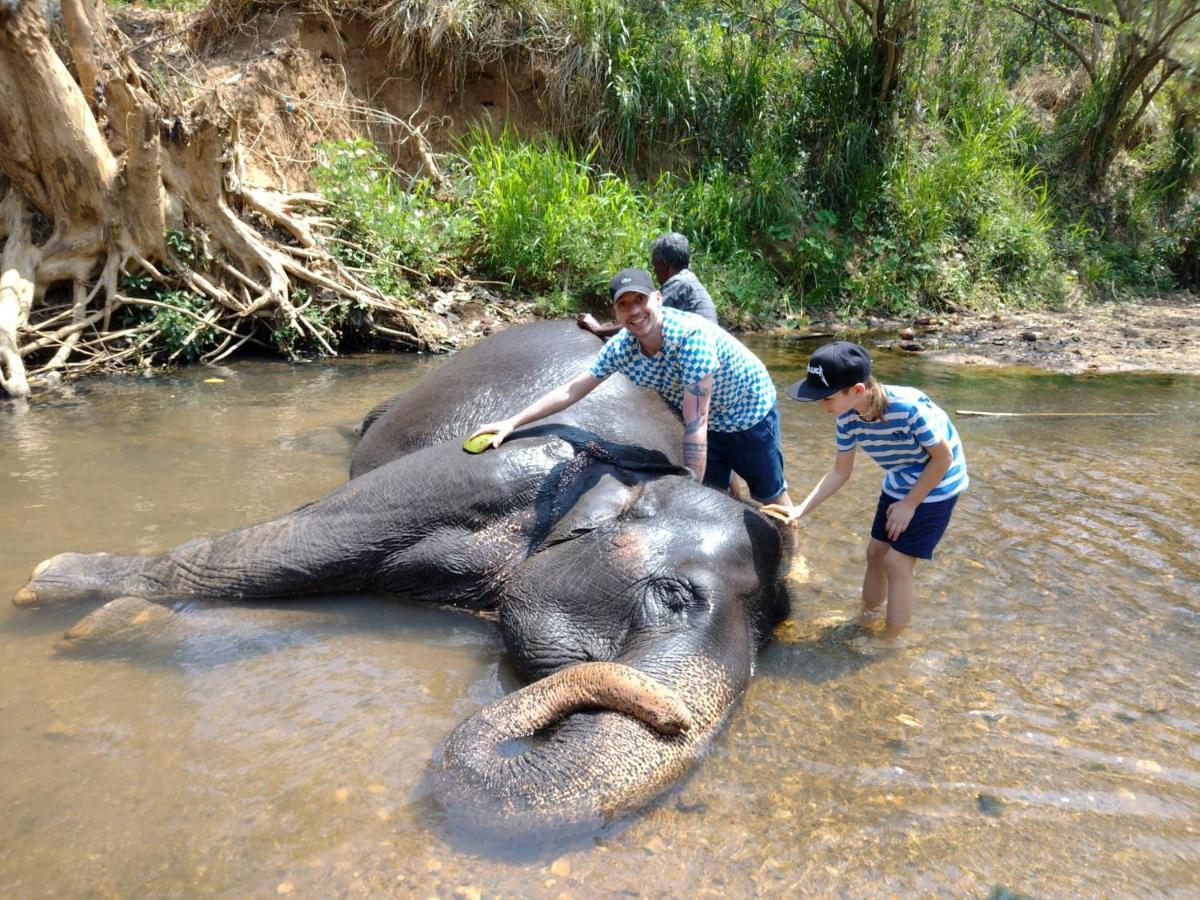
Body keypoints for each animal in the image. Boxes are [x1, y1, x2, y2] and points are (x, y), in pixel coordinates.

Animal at [14, 321, 796, 835]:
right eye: (675, 596)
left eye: (776, 631)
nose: (672, 719)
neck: (626, 476)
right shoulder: (486, 469)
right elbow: (295, 543)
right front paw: (49, 581)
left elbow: (346, 598)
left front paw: (110, 624)